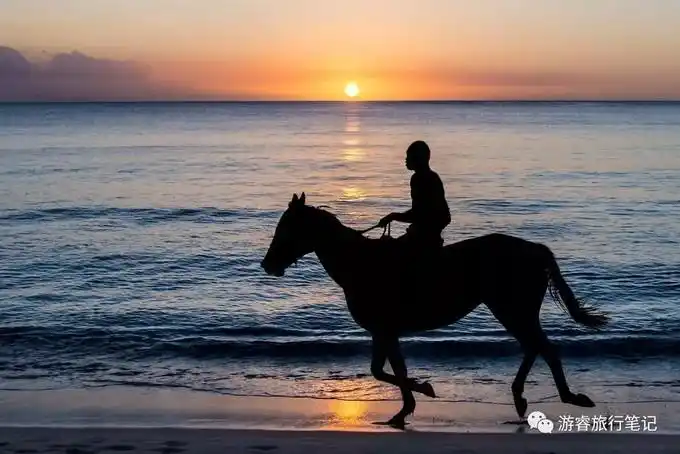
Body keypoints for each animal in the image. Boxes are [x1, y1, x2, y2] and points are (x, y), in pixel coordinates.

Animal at [260, 193, 609, 429]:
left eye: (287, 227)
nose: (267, 265)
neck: (359, 264)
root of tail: (536, 250)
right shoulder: (383, 331)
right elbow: (387, 370)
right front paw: (408, 405)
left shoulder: (384, 330)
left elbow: (389, 371)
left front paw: (420, 394)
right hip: (513, 311)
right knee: (533, 347)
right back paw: (520, 397)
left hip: (513, 309)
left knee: (543, 348)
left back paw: (568, 396)